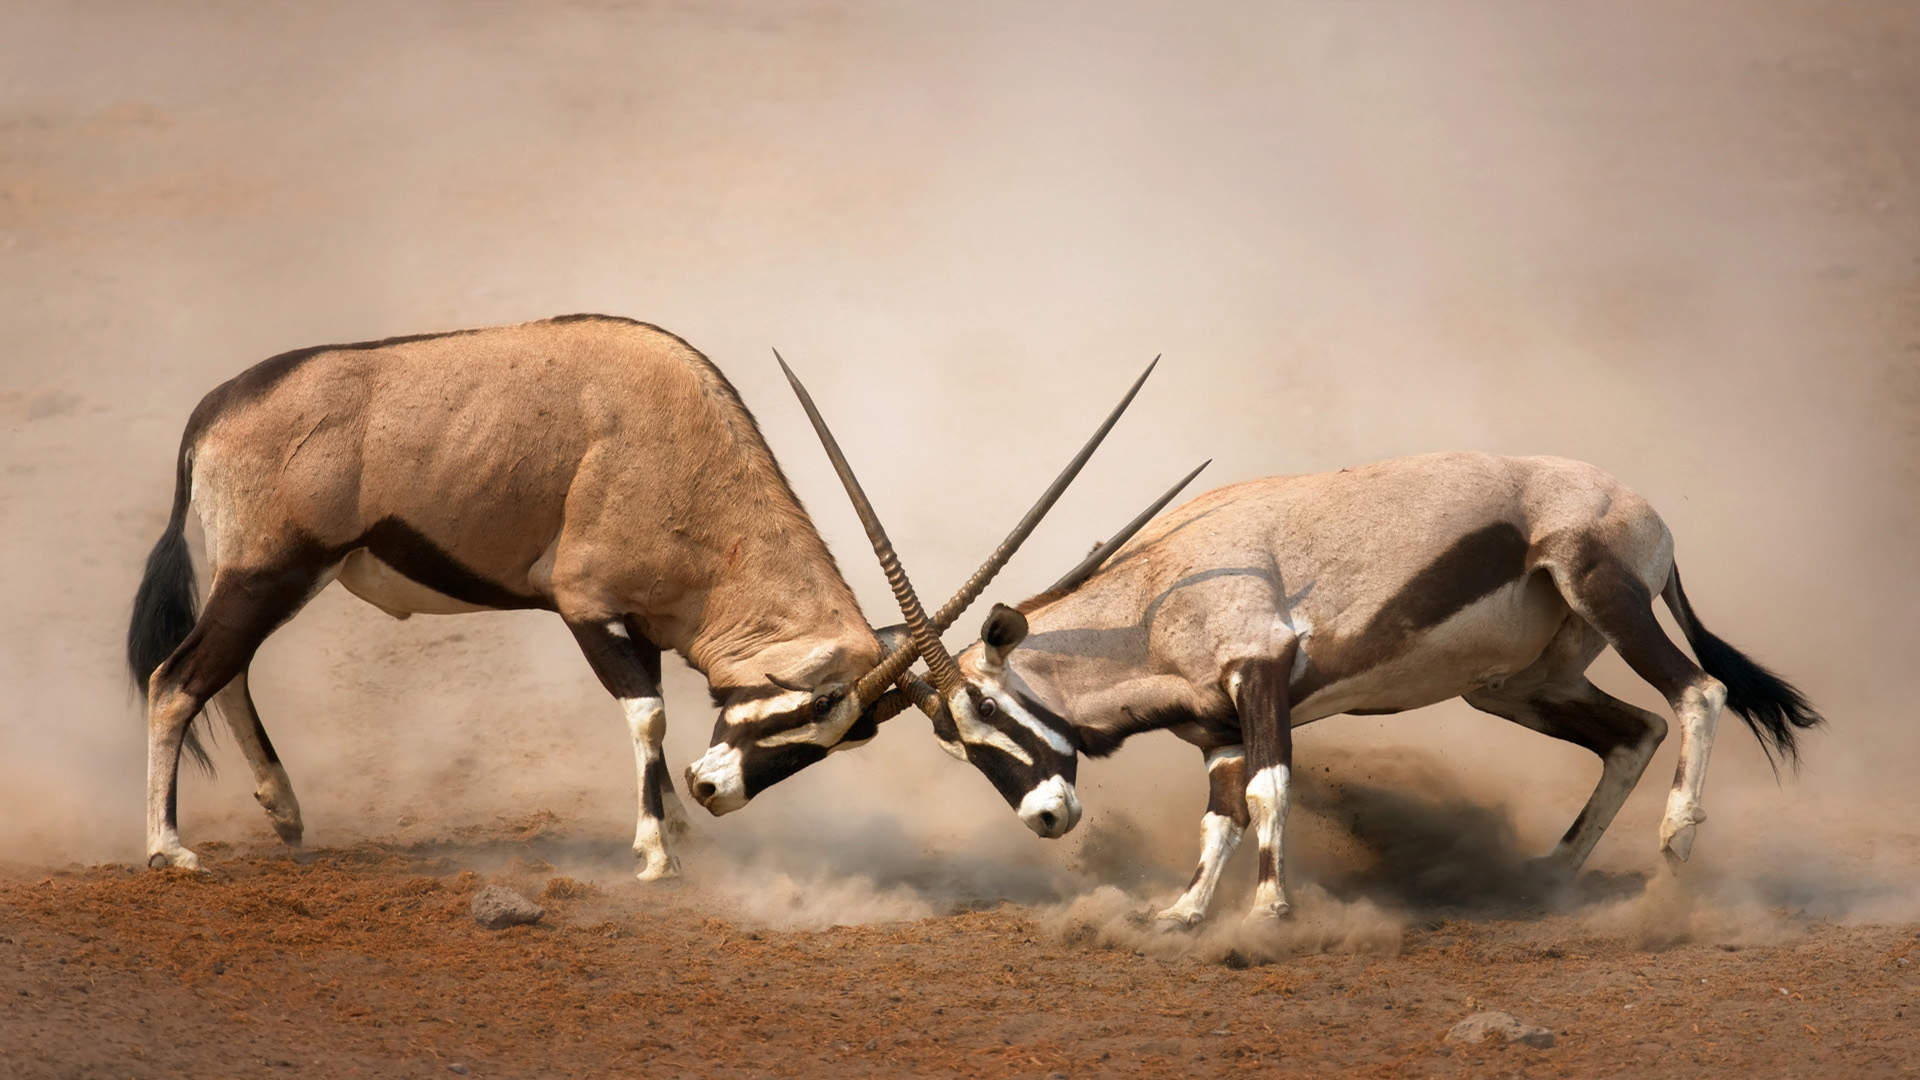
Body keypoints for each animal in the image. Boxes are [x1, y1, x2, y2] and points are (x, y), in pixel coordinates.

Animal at [125, 315, 1144, 879]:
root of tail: (215, 409)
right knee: (178, 681)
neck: (681, 450)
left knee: (227, 673)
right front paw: (659, 850)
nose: (716, 789)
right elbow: (647, 713)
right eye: (805, 706)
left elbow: (653, 716)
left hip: (283, 577)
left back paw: (284, 811)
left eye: (839, 739)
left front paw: (675, 825)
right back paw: (169, 851)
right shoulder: (590, 608)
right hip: (272, 571)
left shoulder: (646, 621)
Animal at [739, 375, 1825, 926]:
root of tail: (1640, 507)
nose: (1048, 818)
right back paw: (1548, 882)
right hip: (1517, 685)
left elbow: (1267, 793)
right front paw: (1182, 917)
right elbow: (1220, 814)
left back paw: (1673, 852)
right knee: (1630, 731)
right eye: (955, 743)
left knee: (1695, 693)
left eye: (993, 712)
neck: (1153, 596)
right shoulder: (1215, 725)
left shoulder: (1260, 678)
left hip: (1604, 592)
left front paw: (1265, 918)